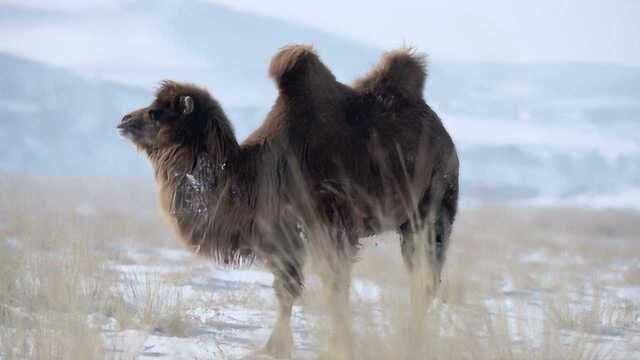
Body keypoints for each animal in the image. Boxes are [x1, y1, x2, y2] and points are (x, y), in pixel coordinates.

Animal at [117, 44, 458, 358]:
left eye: (156, 113)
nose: (124, 119)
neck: (250, 175)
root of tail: (440, 131)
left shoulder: (329, 229)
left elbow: (331, 288)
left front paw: (333, 346)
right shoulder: (281, 239)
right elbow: (286, 292)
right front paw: (275, 347)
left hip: (432, 208)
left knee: (425, 275)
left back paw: (415, 338)